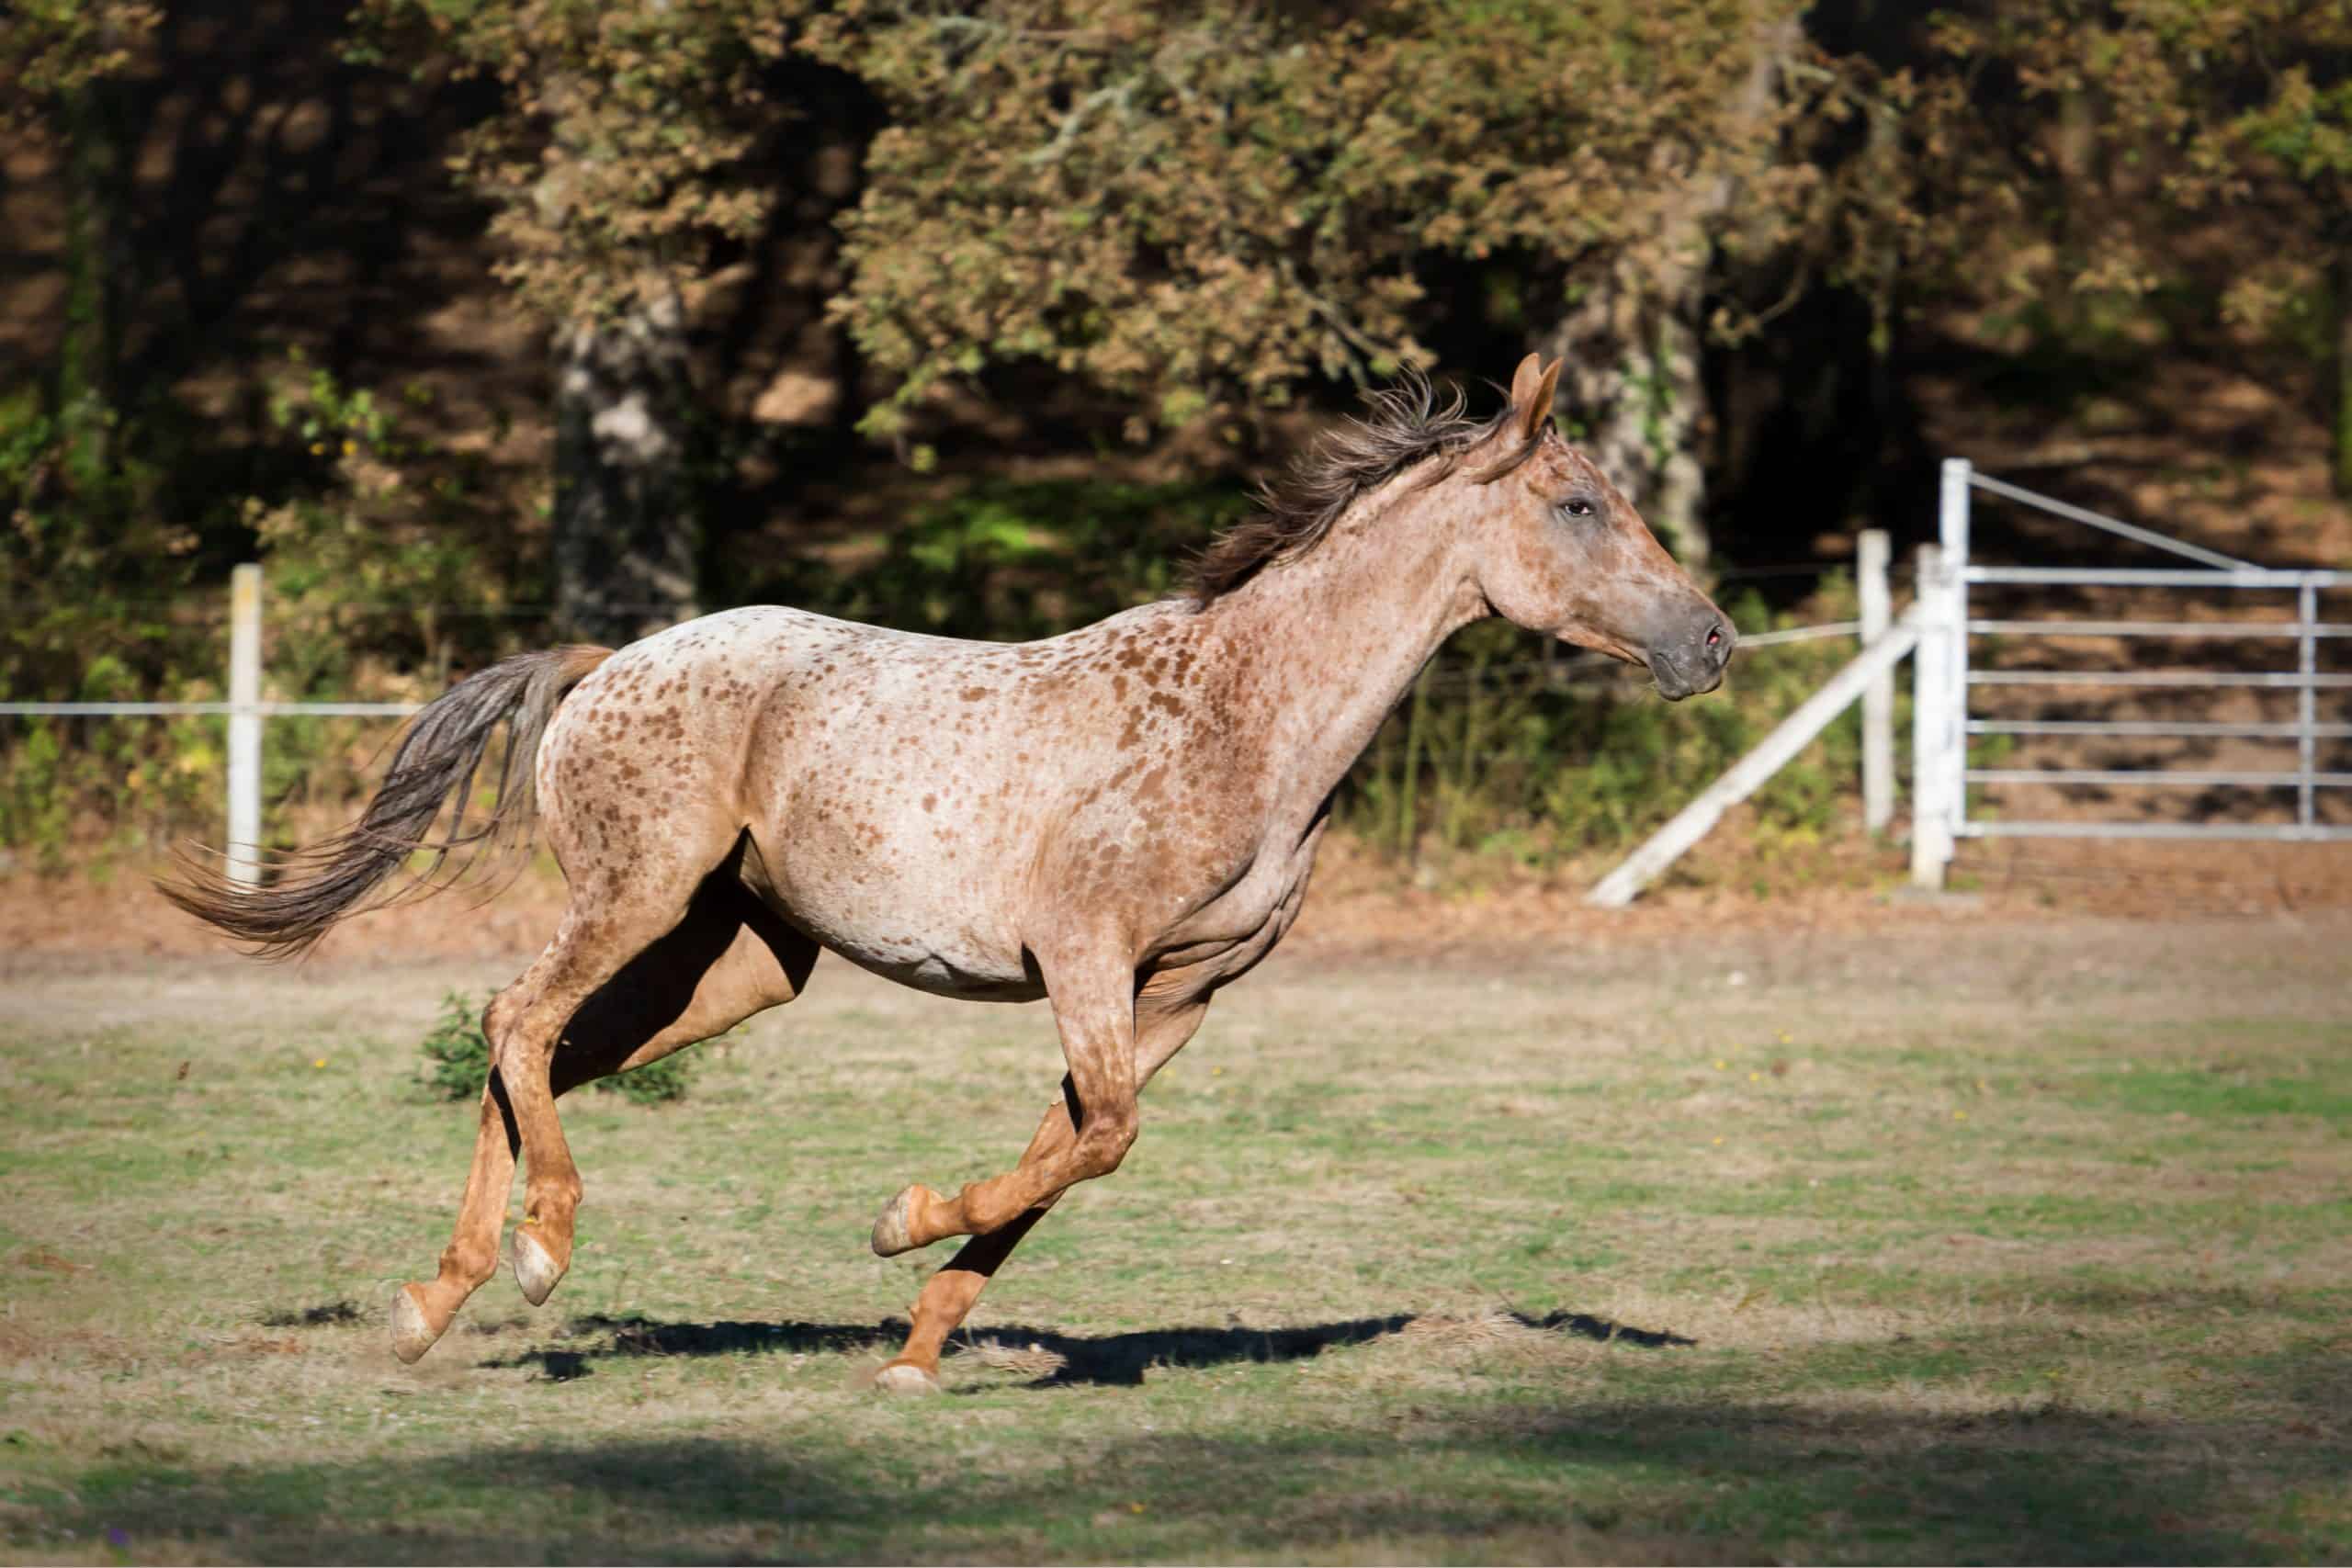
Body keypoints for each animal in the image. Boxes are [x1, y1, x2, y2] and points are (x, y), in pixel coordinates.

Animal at [165, 355, 1740, 1382]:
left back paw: (437, 1301)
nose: (1713, 639)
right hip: (638, 897)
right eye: (1580, 504)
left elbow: (1070, 1148)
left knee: (538, 1048)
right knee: (516, 1017)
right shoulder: (1087, 956)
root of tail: (611, 659)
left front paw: (920, 1344)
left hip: (739, 958)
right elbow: (1099, 1138)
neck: (1241, 716)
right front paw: (898, 1224)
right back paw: (540, 1252)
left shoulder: (1182, 993)